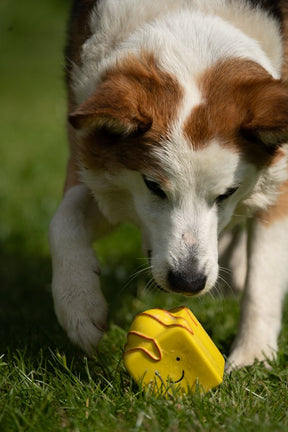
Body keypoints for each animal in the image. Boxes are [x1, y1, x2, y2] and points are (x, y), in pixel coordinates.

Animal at [50, 0, 288, 372]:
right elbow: (64, 218)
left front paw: (253, 355)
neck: (193, 18)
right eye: (153, 186)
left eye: (227, 193)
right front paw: (78, 305)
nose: (187, 283)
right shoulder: (96, 163)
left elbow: (265, 268)